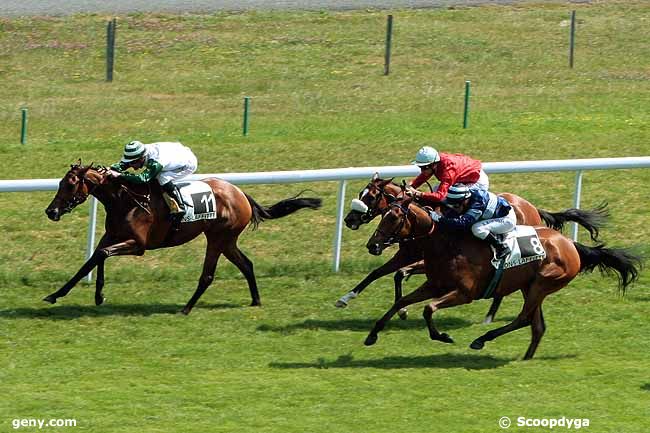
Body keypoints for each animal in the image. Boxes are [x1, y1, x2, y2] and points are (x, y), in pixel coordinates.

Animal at [43, 163, 322, 314]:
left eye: (70, 185)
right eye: (59, 183)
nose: (51, 211)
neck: (125, 200)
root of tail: (241, 193)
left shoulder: (138, 245)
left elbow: (100, 255)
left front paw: (96, 295)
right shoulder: (111, 236)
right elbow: (92, 260)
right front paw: (61, 294)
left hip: (217, 238)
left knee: (208, 275)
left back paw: (186, 308)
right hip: (227, 240)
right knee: (246, 264)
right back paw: (255, 300)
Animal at [336, 175, 604, 320]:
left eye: (370, 197)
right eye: (361, 193)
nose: (349, 219)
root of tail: (532, 207)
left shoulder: (419, 257)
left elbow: (396, 273)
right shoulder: (408, 254)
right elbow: (381, 273)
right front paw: (345, 298)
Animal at [362, 197, 640, 360]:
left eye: (394, 218)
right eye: (382, 215)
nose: (372, 244)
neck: (448, 244)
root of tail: (570, 244)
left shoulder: (465, 293)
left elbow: (428, 309)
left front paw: (442, 336)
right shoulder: (435, 284)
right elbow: (401, 302)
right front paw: (372, 335)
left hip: (542, 283)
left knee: (524, 318)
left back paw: (481, 340)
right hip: (530, 287)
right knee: (537, 326)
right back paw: (525, 359)